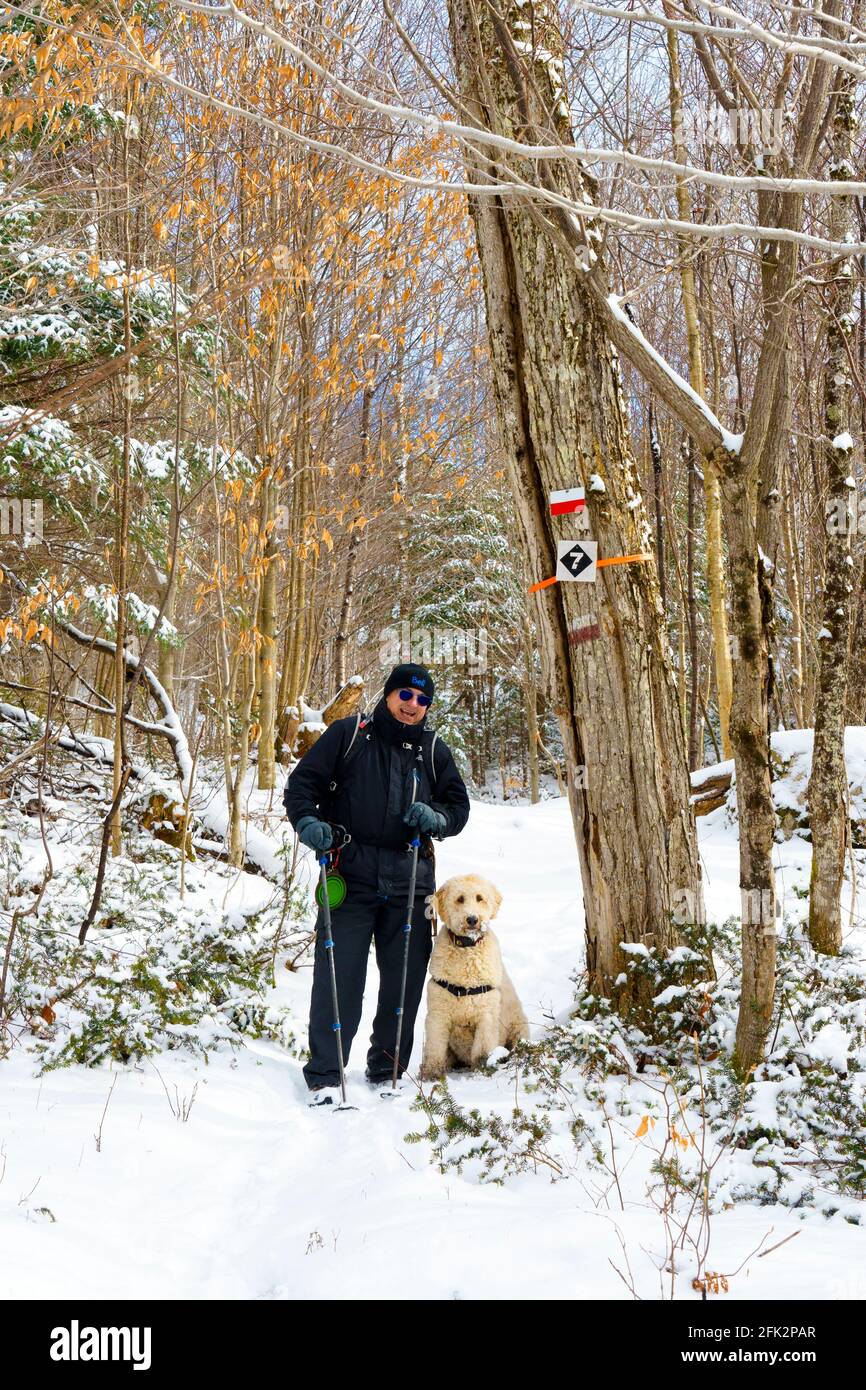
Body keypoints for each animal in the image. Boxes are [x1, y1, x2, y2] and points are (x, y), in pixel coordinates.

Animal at [419, 872, 528, 1078]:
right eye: (460, 899)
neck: (467, 947)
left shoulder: (486, 1013)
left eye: (479, 898)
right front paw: (431, 1074)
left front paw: (482, 1069)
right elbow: (434, 1047)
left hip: (519, 1027)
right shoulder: (438, 1012)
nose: (472, 919)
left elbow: (482, 1049)